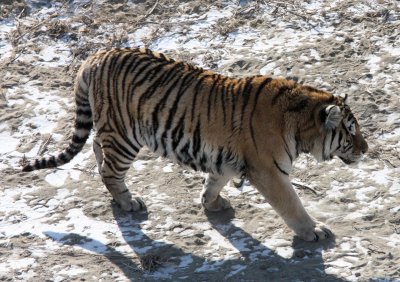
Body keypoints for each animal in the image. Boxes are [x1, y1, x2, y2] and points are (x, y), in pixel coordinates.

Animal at [20, 47, 368, 241]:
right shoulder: (269, 171)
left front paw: (211, 203)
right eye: (350, 132)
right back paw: (128, 201)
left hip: (111, 130)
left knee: (96, 146)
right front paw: (314, 231)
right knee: (109, 170)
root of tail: (95, 56)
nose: (365, 149)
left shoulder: (228, 157)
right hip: (124, 136)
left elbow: (214, 180)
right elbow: (292, 204)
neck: (300, 121)